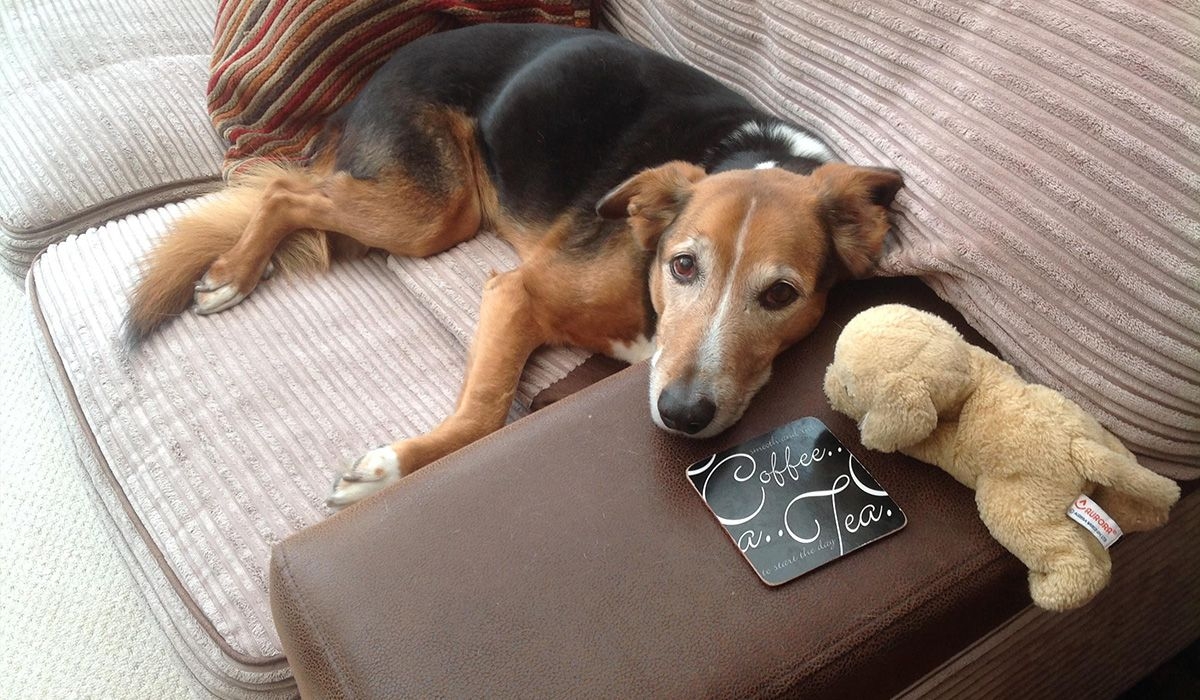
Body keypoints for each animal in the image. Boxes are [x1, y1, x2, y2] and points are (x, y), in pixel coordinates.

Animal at [131, 24, 902, 506]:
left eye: (780, 295)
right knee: (286, 191)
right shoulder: (516, 290)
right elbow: (483, 414)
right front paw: (389, 470)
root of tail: (372, 76)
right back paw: (232, 272)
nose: (682, 415)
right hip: (433, 214)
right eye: (682, 267)